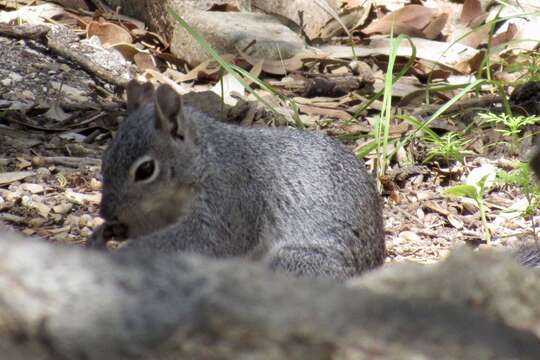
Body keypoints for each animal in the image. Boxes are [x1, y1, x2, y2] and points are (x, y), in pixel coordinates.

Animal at [89, 80, 384, 280]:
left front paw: (126, 252)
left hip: (297, 262)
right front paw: (109, 232)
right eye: (105, 157)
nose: (106, 212)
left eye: (145, 170)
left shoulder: (232, 196)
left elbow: (209, 240)